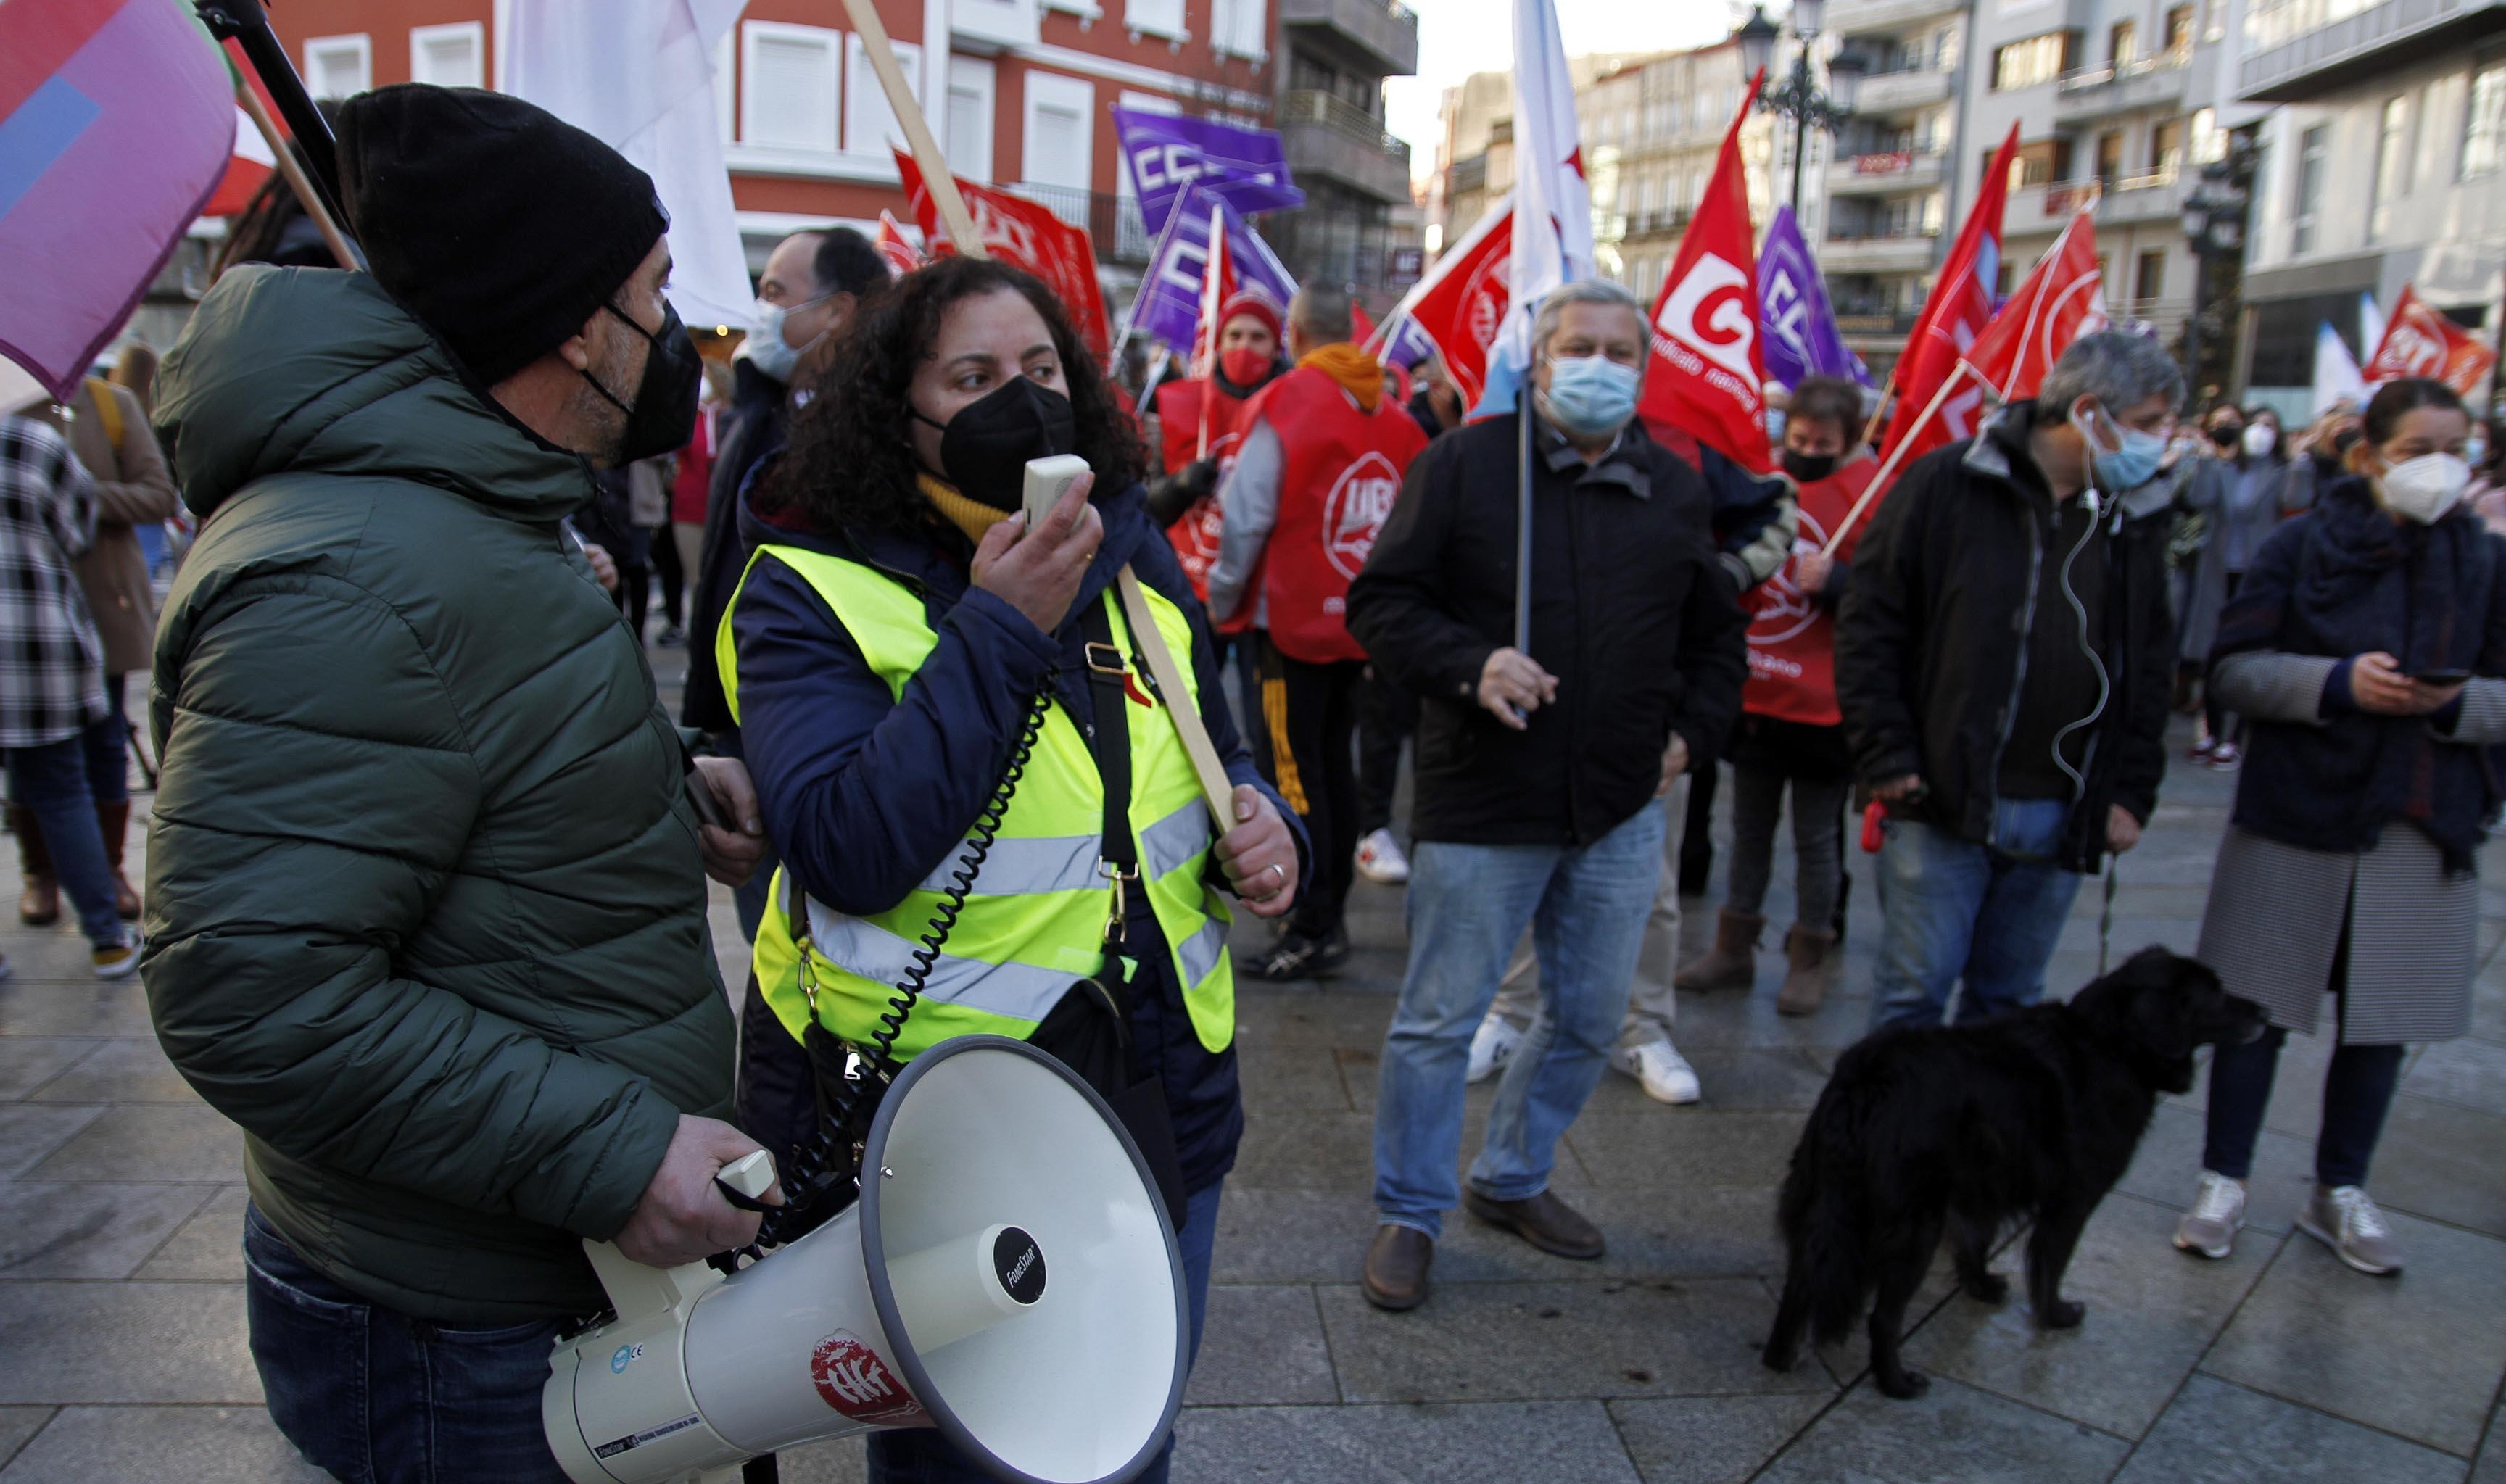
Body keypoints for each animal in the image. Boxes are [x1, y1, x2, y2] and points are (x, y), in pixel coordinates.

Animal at [1764, 942, 2275, 1393]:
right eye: (2216, 994)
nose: (2268, 1014)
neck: (2109, 1043)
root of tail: (1867, 1081)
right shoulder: (2072, 1200)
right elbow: (2050, 1265)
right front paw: (2056, 1316)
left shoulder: (1984, 1184)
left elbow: (1976, 1240)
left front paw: (1981, 1286)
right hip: (1913, 1226)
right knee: (1883, 1317)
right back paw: (1896, 1384)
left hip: (1820, 1199)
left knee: (1799, 1283)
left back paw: (1779, 1357)